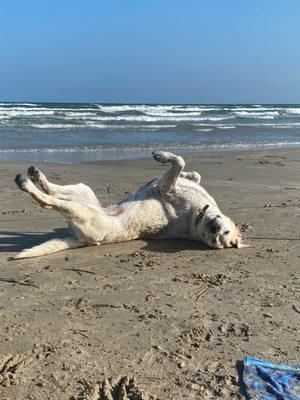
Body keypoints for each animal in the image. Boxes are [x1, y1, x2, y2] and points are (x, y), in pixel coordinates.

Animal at [12, 151, 248, 260]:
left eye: (216, 241)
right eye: (224, 233)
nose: (214, 231)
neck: (197, 216)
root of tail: (81, 241)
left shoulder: (165, 186)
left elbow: (179, 162)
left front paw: (162, 156)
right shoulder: (169, 184)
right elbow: (191, 171)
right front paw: (169, 162)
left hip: (84, 212)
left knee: (49, 201)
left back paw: (25, 182)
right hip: (83, 191)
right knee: (53, 190)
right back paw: (36, 174)